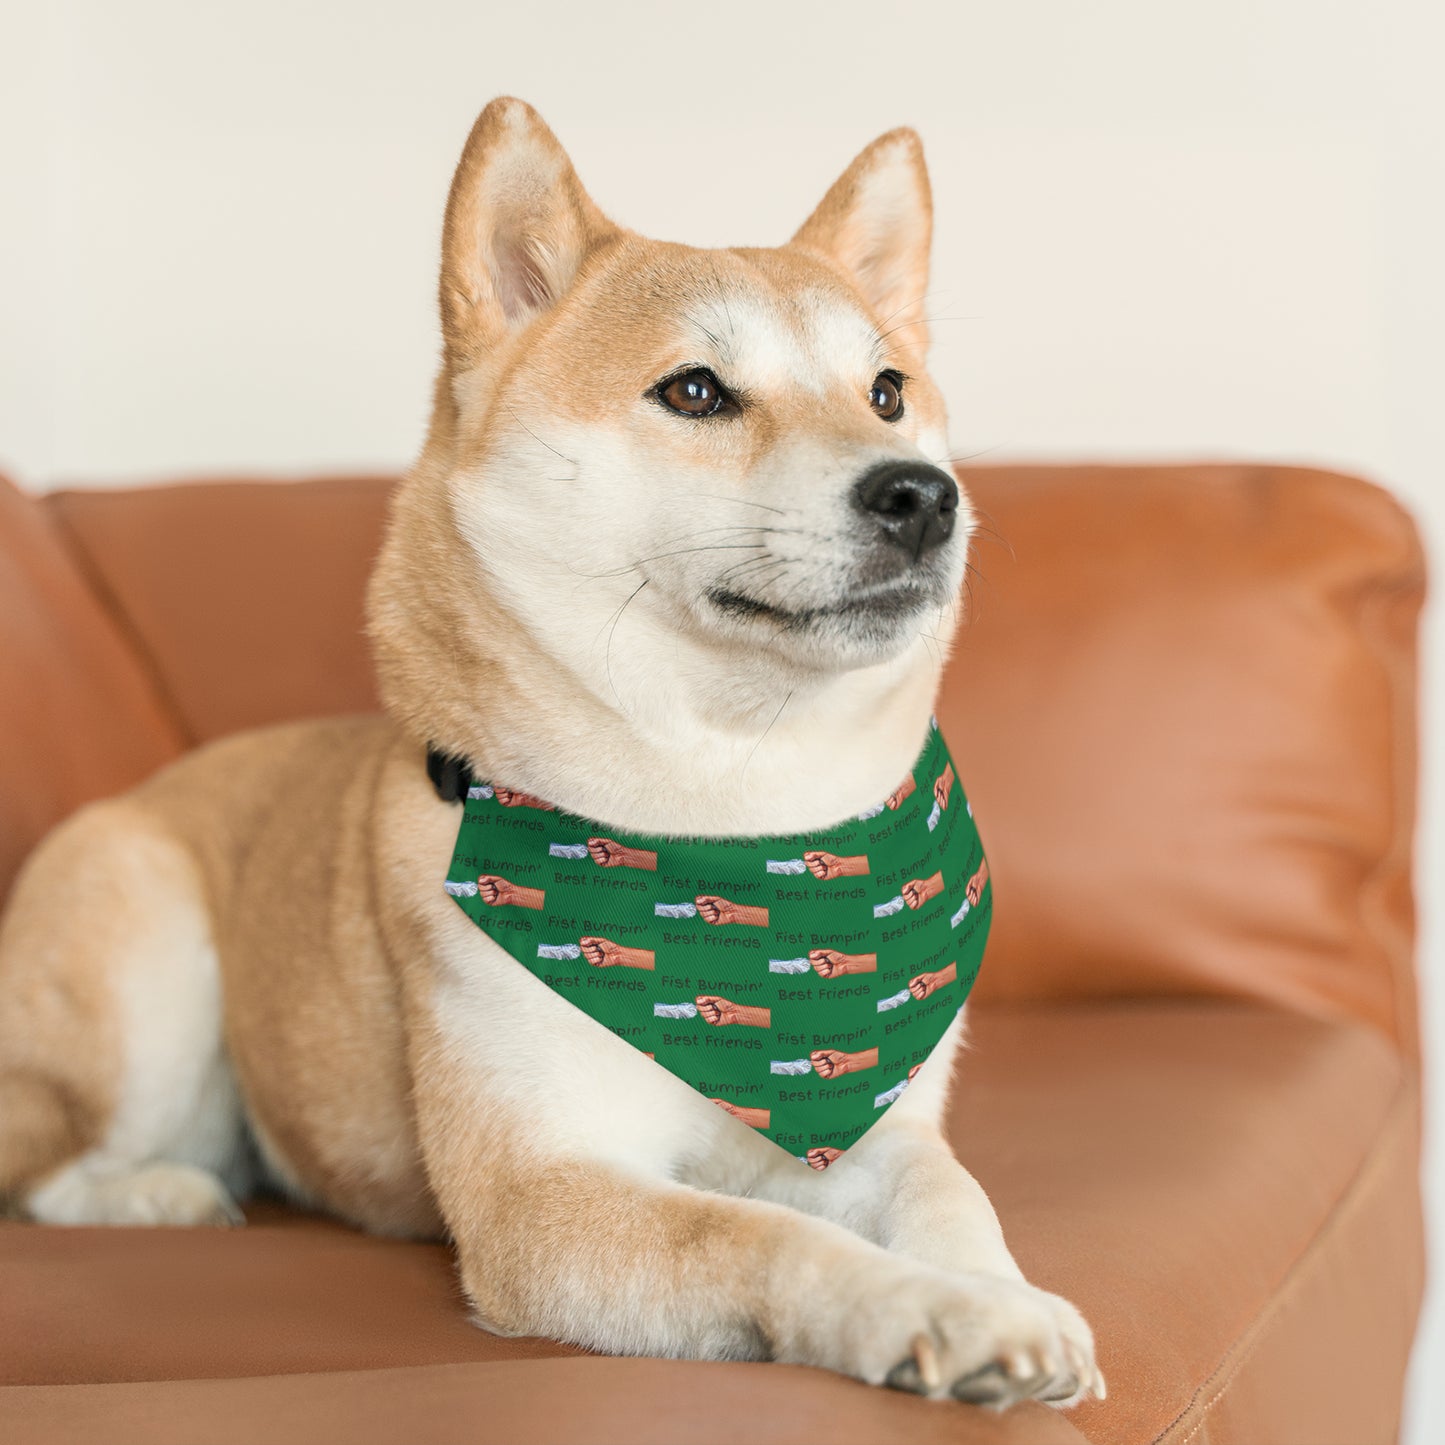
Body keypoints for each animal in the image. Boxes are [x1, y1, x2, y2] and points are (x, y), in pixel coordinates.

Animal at [0, 96, 1098, 1404]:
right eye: (694, 390)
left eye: (886, 390)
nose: (923, 495)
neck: (731, 817)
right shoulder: (540, 1193)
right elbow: (766, 1235)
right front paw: (930, 1308)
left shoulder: (878, 1124)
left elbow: (950, 1194)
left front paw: (1003, 1293)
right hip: (145, 962)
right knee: (48, 1165)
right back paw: (162, 1192)